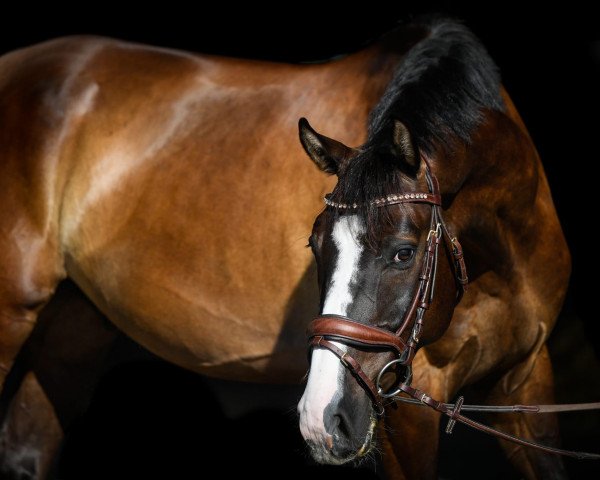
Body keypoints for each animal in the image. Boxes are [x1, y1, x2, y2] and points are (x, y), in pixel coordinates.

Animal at [0, 16, 568, 478]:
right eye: (314, 247)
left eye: (404, 252)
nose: (322, 420)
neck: (494, 263)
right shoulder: (406, 411)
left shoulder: (526, 383)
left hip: (72, 323)